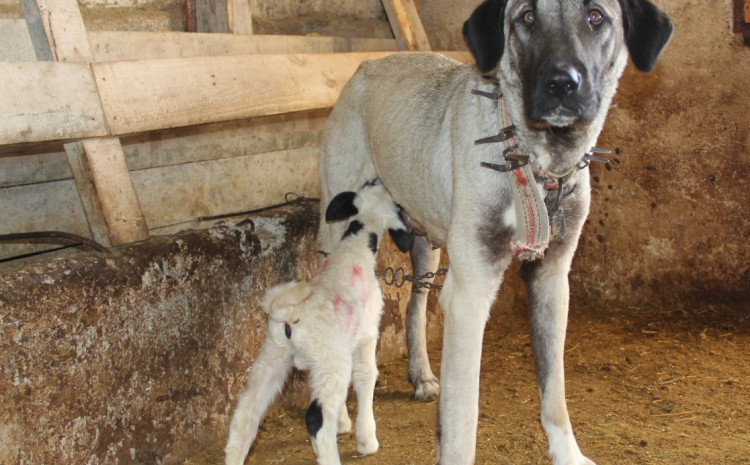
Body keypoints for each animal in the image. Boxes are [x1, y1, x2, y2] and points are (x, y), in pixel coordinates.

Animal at [226, 181, 414, 464]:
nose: (378, 180)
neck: (356, 246)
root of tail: (289, 312)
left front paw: (344, 423)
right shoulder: (367, 337)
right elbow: (366, 377)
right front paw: (367, 440)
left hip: (273, 357)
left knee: (245, 415)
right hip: (330, 362)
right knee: (316, 419)